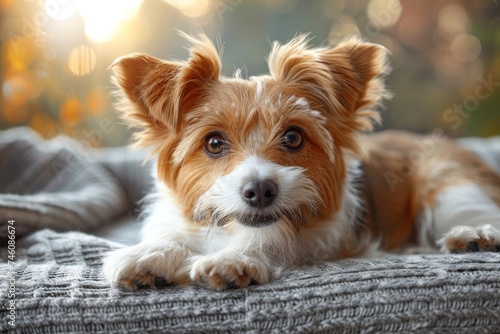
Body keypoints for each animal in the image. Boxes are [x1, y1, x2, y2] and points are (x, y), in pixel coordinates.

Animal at [101, 32, 500, 290]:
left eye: (293, 137)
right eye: (214, 143)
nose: (260, 190)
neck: (230, 231)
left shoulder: (322, 238)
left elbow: (272, 241)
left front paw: (235, 259)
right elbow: (170, 235)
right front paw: (152, 254)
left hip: (446, 181)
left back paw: (473, 235)